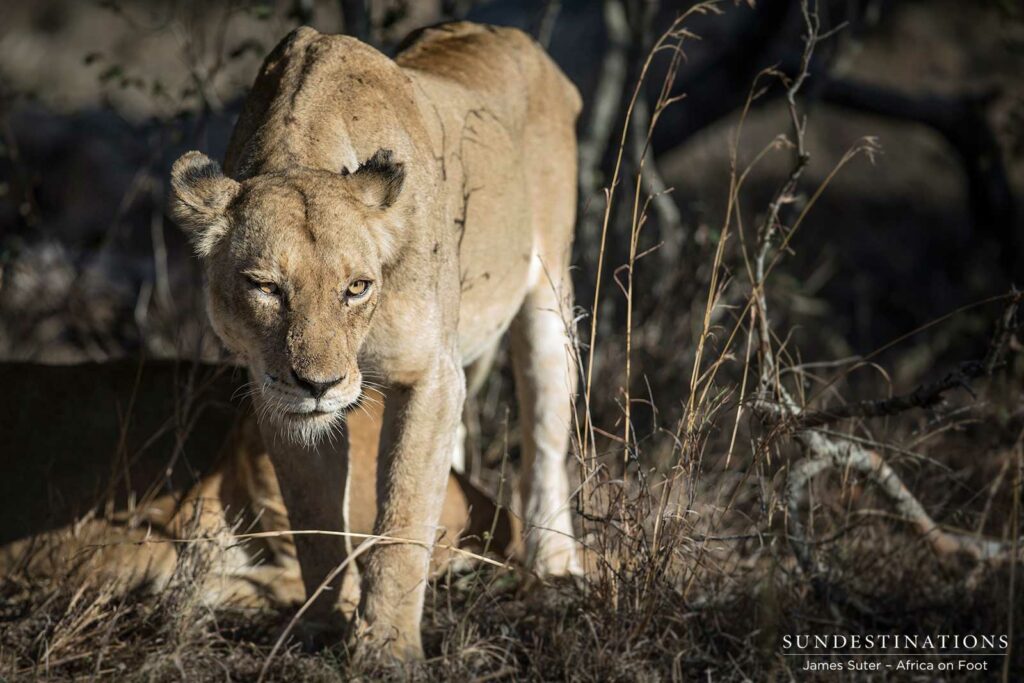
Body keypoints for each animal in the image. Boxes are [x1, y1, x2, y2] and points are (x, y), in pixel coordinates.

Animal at [169, 22, 582, 658]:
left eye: (357, 287)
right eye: (266, 287)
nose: (318, 384)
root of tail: (513, 36)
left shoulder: (431, 374)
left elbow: (404, 514)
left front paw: (386, 645)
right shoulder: (275, 395)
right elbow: (313, 516)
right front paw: (321, 627)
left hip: (548, 295)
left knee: (544, 440)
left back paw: (555, 564)